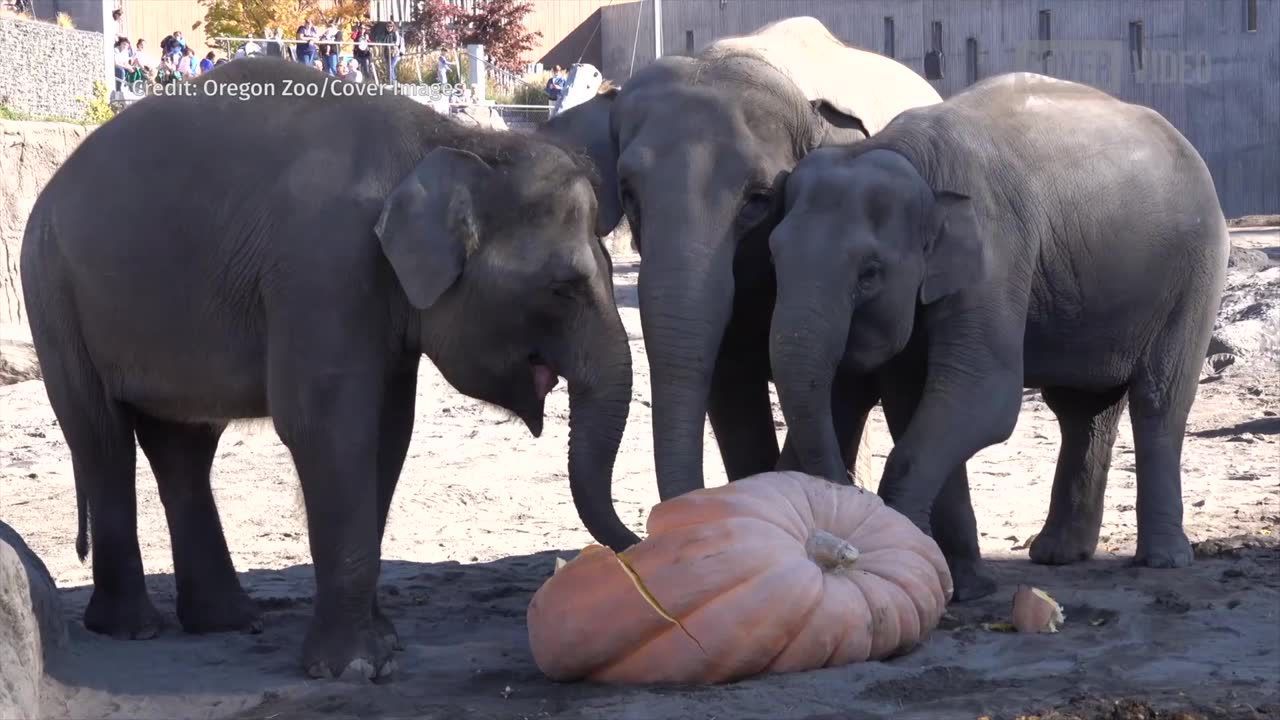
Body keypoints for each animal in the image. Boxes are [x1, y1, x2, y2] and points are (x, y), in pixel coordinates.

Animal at [18, 57, 634, 676]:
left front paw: (383, 646)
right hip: (52, 293)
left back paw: (227, 621)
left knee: (183, 447)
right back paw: (132, 628)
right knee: (101, 438)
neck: (450, 141)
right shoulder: (323, 266)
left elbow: (388, 431)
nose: (631, 547)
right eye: (563, 287)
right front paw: (354, 668)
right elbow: (329, 427)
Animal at [762, 71, 1223, 599]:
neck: (907, 156)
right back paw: (1058, 554)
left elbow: (983, 396)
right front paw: (965, 586)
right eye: (771, 256)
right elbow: (917, 403)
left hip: (1194, 271)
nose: (841, 490)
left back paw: (1163, 560)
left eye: (869, 274)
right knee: (1081, 409)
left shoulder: (996, 251)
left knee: (1157, 399)